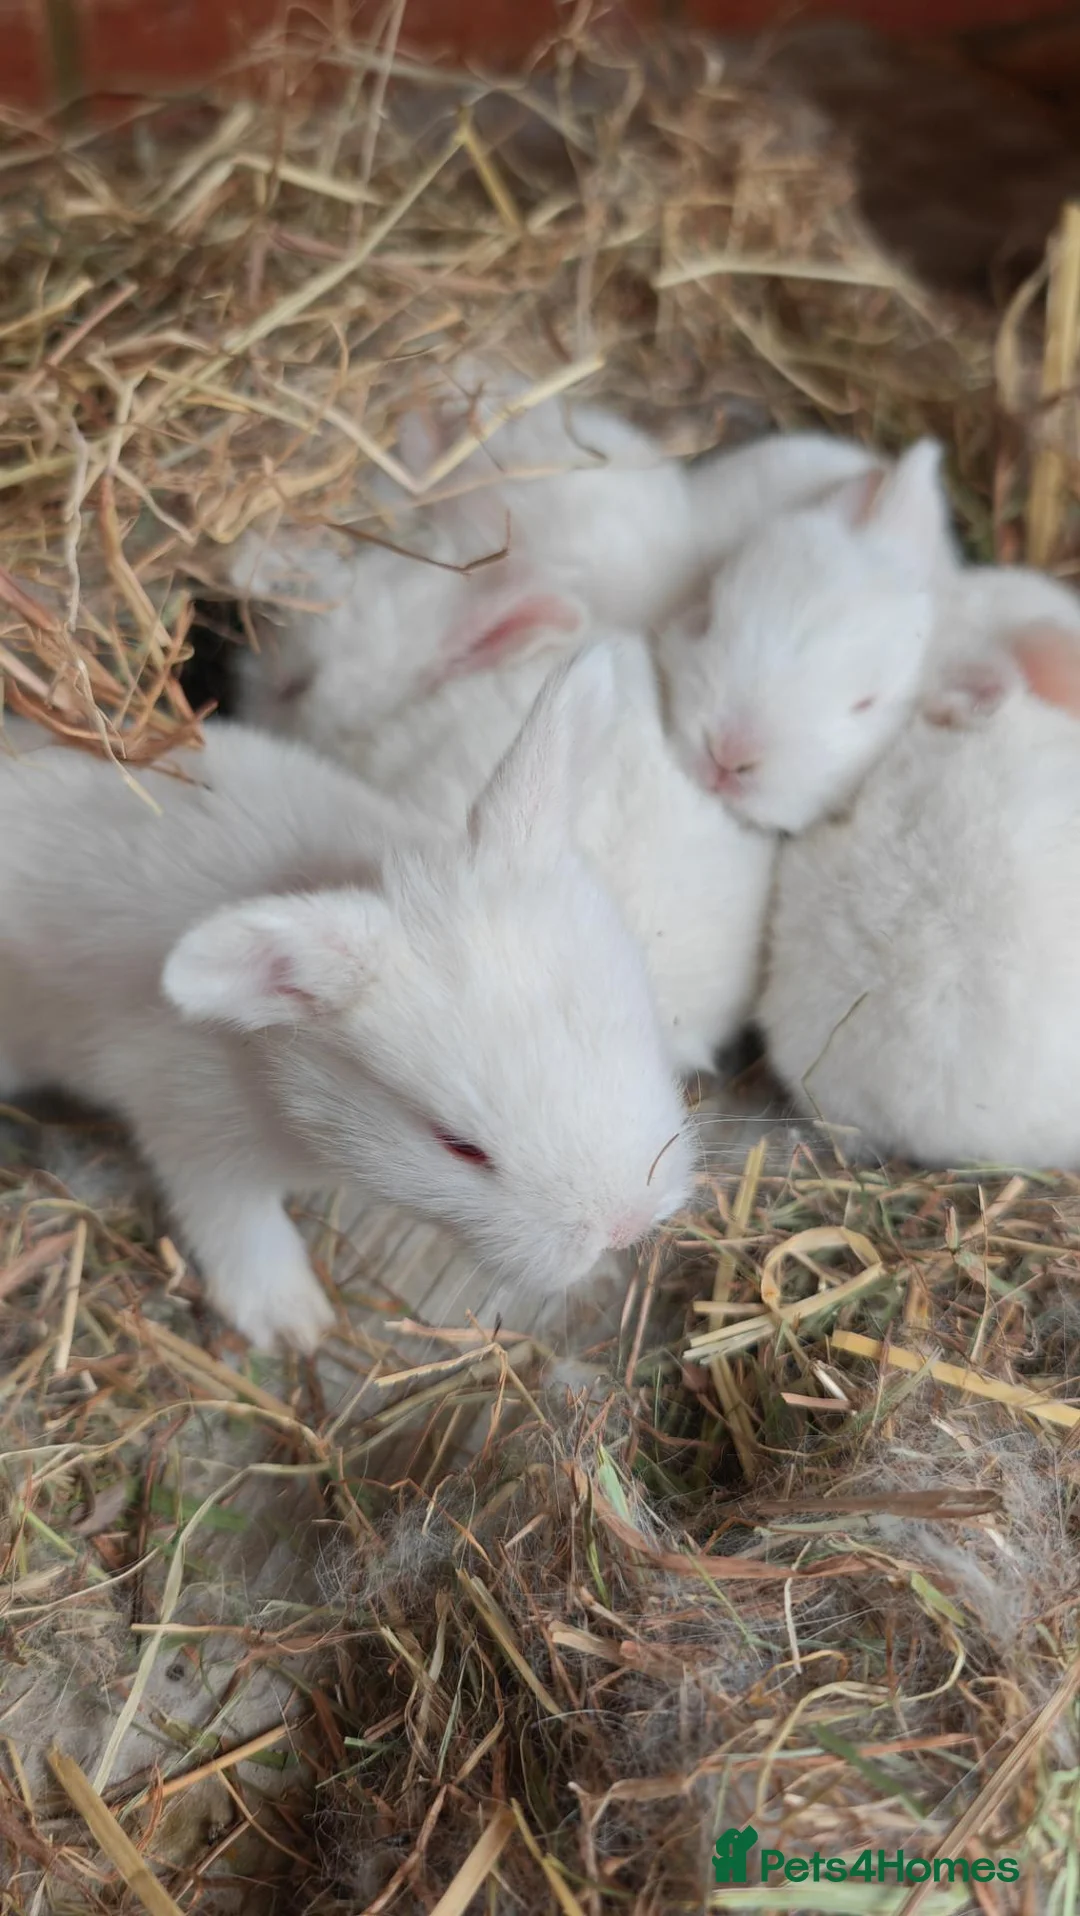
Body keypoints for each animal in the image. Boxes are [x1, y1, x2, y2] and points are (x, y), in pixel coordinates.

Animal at [0, 649, 695, 1352]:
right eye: (458, 1146)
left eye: (629, 1022)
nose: (625, 1226)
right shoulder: (186, 1124)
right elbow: (236, 1223)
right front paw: (293, 1323)